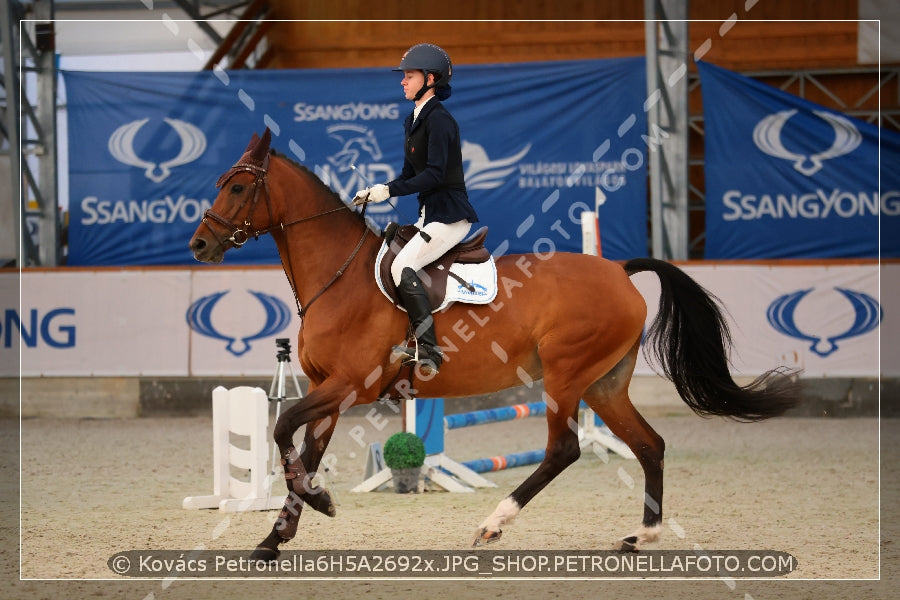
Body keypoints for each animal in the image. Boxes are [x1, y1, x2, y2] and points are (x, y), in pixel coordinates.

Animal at [188, 129, 796, 560]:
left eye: (237, 187)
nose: (199, 245)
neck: (339, 277)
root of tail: (618, 271)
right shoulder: (328, 390)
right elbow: (302, 452)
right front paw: (277, 535)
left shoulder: (347, 386)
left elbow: (282, 430)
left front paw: (317, 504)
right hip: (604, 384)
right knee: (649, 445)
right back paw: (640, 536)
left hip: (566, 377)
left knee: (563, 450)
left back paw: (493, 523)